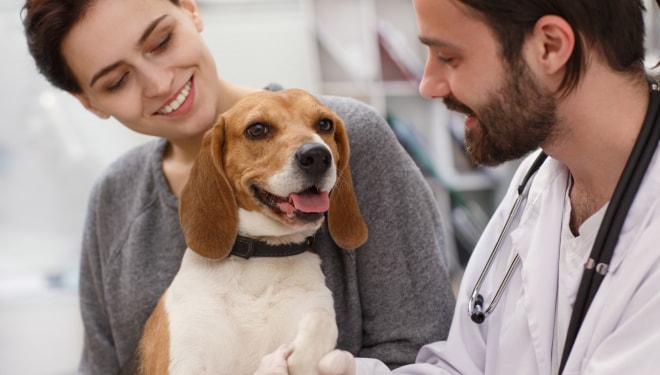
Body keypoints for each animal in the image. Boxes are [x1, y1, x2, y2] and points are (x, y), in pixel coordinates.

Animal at [132, 89, 368, 374]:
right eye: (257, 129)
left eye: (324, 124)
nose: (317, 156)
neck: (261, 254)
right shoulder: (183, 363)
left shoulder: (314, 307)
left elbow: (321, 318)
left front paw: (305, 356)